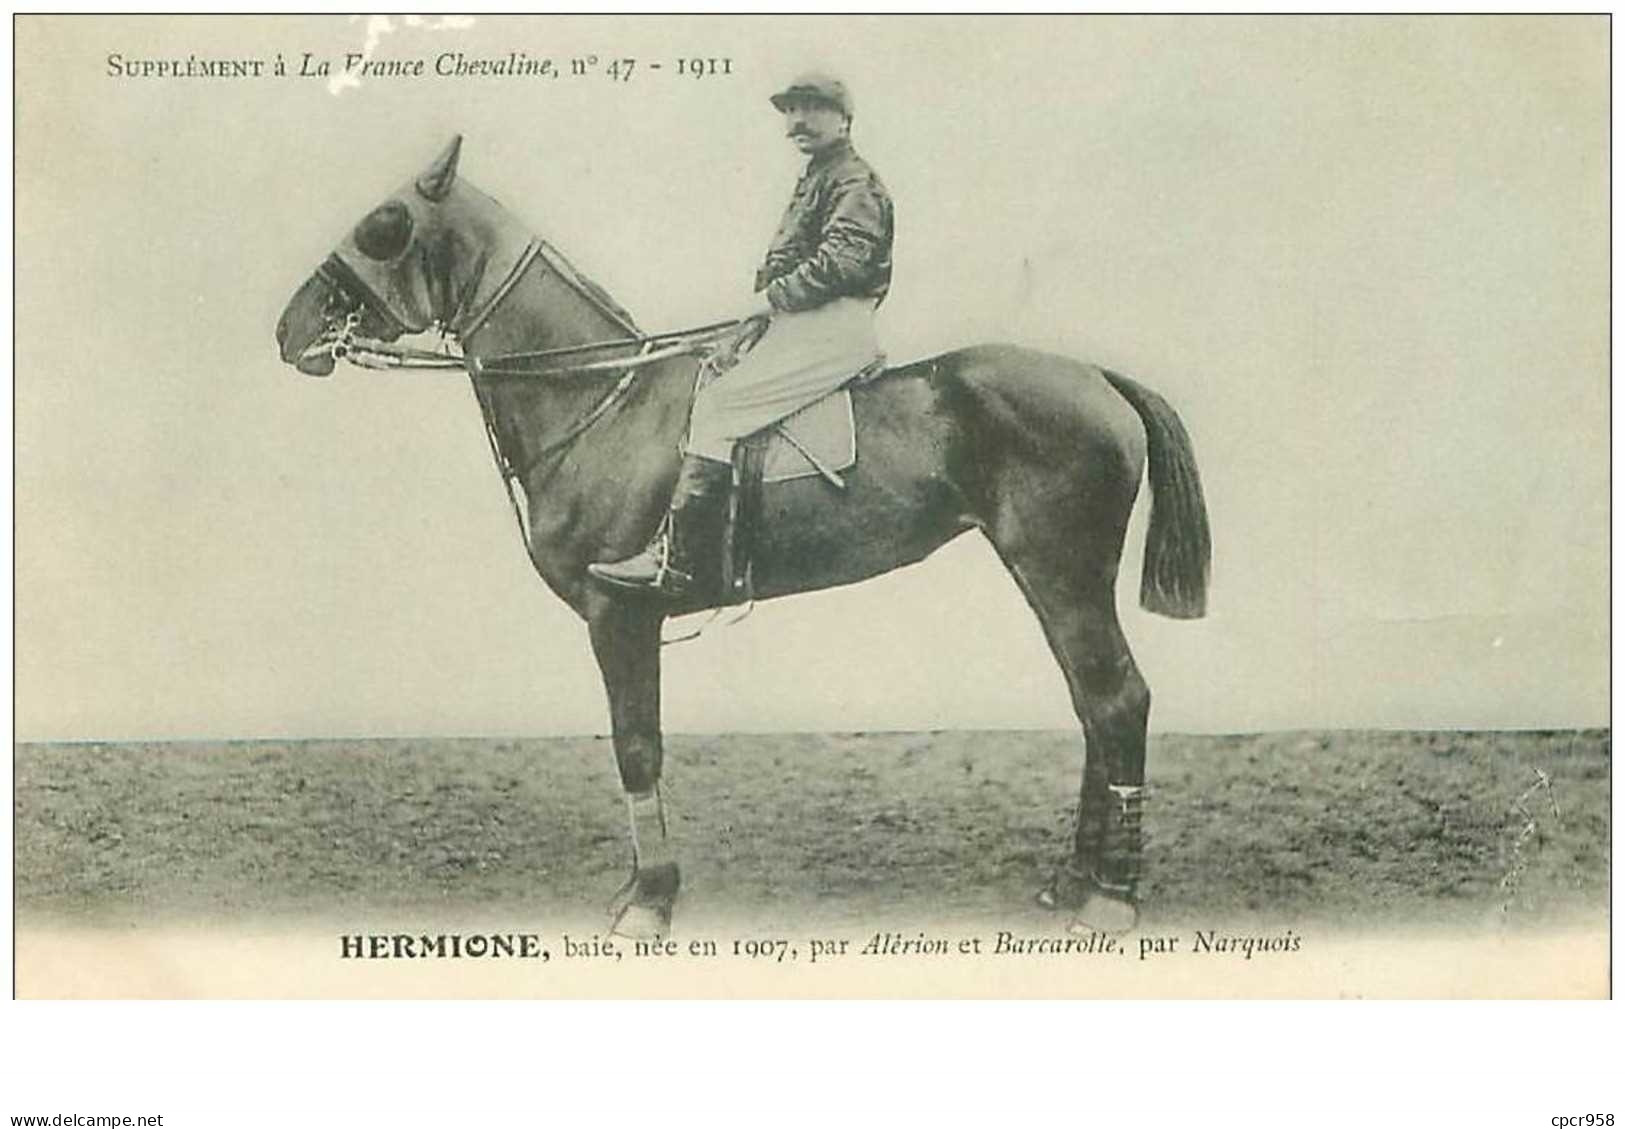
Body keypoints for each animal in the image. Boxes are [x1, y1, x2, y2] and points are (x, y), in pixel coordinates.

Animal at [273, 138, 1215, 935]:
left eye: (383, 224)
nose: (289, 329)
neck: (601, 398)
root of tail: (1097, 377)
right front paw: (638, 888)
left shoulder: (618, 615)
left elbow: (637, 746)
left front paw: (649, 900)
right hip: (1048, 575)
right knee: (1092, 705)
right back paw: (1075, 880)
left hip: (1061, 571)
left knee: (1117, 700)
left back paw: (1111, 896)